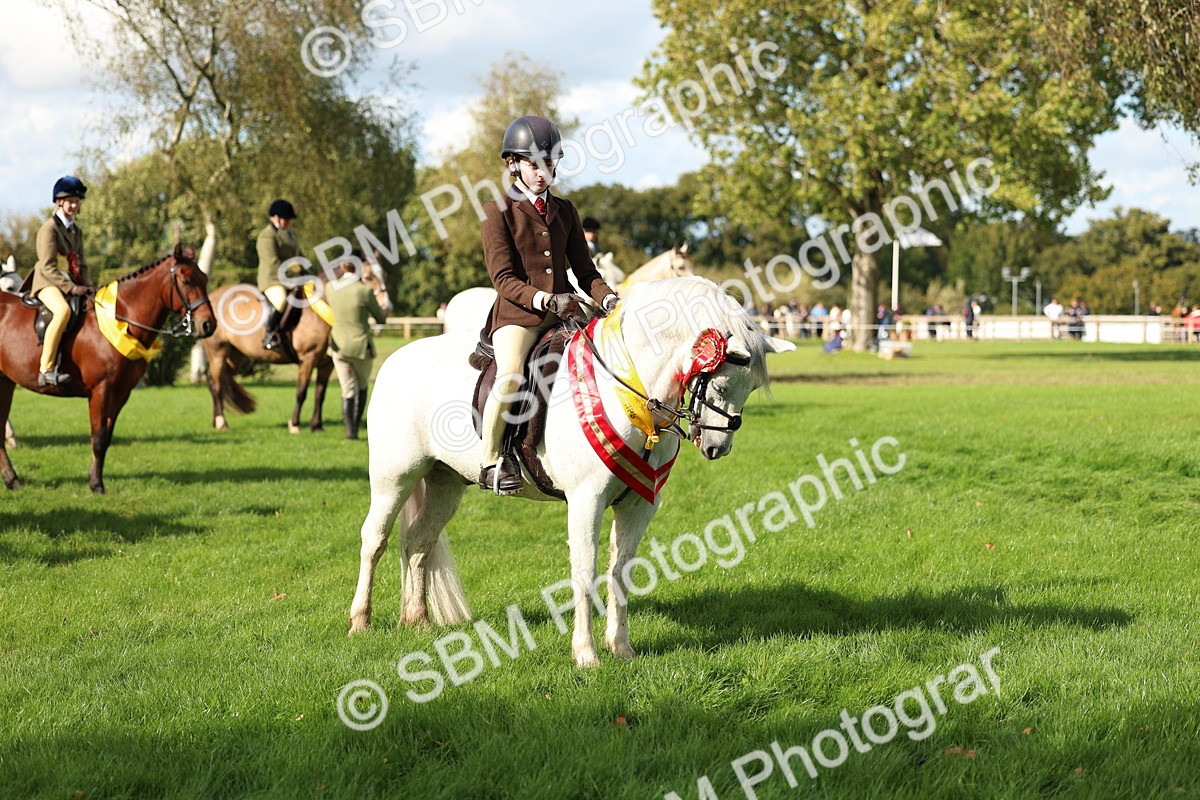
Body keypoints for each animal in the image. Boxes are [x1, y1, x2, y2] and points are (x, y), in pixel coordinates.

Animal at [0, 245, 216, 493]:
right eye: (187, 280)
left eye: (205, 278)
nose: (208, 325)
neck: (121, 321)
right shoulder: (100, 391)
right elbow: (98, 437)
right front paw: (96, 485)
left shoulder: (121, 393)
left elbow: (106, 439)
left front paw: (95, 480)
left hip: (5, 382)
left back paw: (12, 480)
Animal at [203, 263, 392, 433]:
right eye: (368, 277)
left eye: (384, 274)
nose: (386, 307)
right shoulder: (308, 359)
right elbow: (301, 392)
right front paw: (294, 424)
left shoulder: (327, 364)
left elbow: (320, 394)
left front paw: (316, 426)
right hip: (217, 353)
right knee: (217, 385)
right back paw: (221, 422)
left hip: (235, 356)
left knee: (216, 383)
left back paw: (215, 421)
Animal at [348, 276, 795, 667]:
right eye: (719, 385)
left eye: (752, 389)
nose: (717, 447)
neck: (630, 395)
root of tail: (396, 359)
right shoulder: (585, 500)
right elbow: (585, 572)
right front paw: (586, 655)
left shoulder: (638, 504)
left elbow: (621, 571)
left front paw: (622, 648)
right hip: (395, 477)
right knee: (375, 540)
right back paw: (360, 622)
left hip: (445, 482)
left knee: (418, 543)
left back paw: (418, 621)